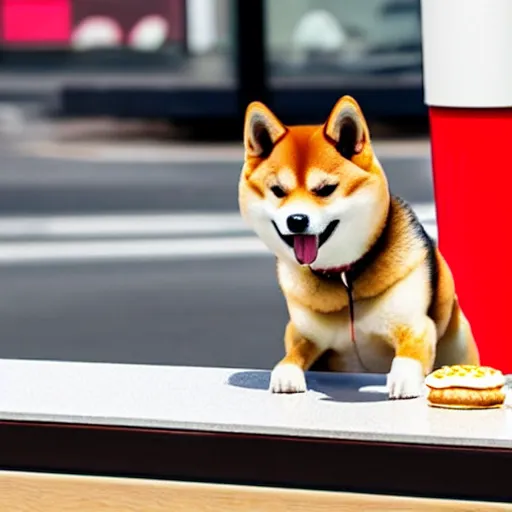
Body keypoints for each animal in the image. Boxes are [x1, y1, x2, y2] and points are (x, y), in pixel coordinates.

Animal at [238, 95, 478, 400]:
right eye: (278, 191)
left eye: (325, 189)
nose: (296, 220)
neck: (345, 278)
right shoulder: (304, 333)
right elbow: (294, 352)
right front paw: (286, 372)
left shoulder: (415, 325)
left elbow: (409, 354)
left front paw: (403, 378)